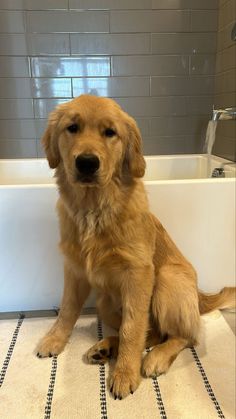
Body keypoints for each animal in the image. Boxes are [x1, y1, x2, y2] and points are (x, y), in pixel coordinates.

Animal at [35, 94, 236, 400]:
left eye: (110, 132)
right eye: (72, 128)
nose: (87, 163)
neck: (94, 208)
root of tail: (200, 297)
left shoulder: (139, 275)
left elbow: (133, 327)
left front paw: (125, 373)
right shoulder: (75, 270)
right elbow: (68, 308)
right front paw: (54, 339)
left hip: (167, 279)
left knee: (186, 335)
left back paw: (155, 357)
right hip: (105, 302)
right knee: (153, 333)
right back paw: (106, 346)